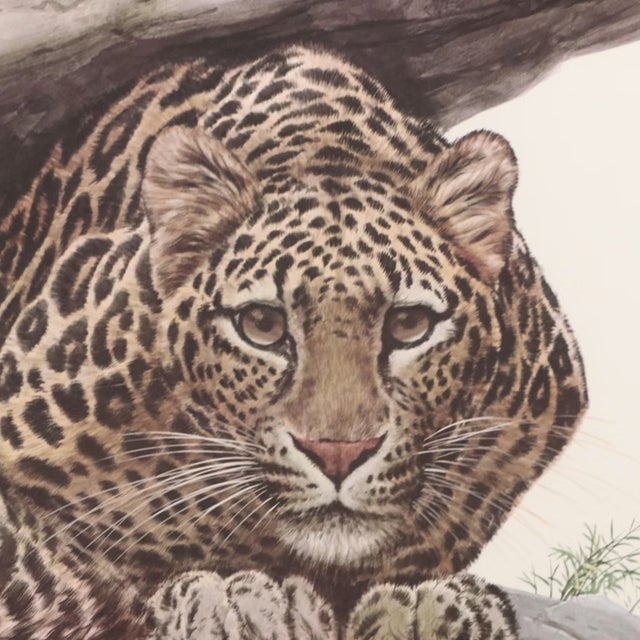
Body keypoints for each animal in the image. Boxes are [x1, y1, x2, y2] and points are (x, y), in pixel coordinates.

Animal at [0, 45, 588, 639]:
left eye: (408, 325)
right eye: (261, 324)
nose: (338, 454)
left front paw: (433, 602)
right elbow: (57, 570)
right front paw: (237, 597)